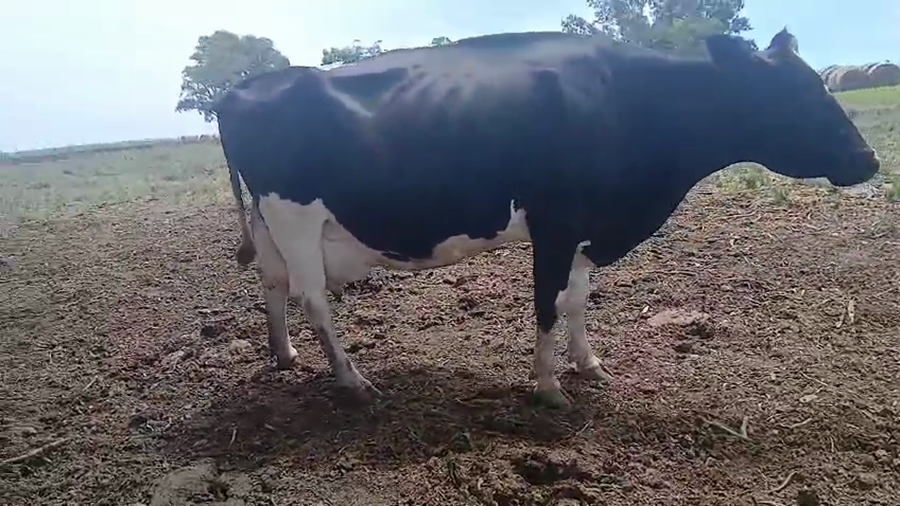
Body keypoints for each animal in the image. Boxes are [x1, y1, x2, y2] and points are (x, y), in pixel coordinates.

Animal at [215, 28, 879, 409]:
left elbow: (577, 298)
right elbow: (546, 303)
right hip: (295, 218)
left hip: (274, 227)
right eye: (795, 95)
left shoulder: (588, 228)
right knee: (312, 297)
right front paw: (549, 388)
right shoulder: (556, 225)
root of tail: (240, 89)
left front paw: (589, 365)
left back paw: (285, 356)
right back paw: (351, 380)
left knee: (273, 284)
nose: (870, 159)